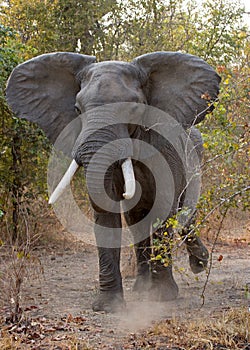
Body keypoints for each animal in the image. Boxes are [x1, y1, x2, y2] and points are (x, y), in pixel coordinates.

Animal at [6, 51, 221, 312]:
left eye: (133, 108)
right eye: (77, 109)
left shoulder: (166, 149)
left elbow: (164, 209)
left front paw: (163, 297)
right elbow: (107, 213)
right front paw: (108, 306)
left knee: (186, 211)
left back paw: (199, 265)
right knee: (136, 219)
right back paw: (142, 288)